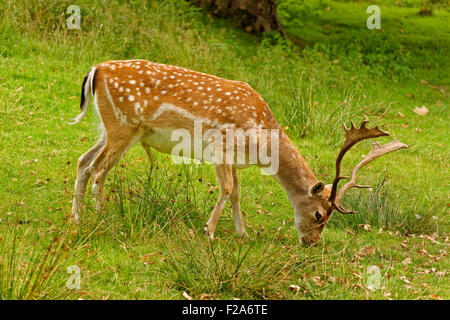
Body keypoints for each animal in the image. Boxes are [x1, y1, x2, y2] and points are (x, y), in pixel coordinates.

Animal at [70, 60, 408, 245]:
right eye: (319, 214)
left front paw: (242, 233)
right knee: (99, 169)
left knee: (84, 162)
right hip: (123, 125)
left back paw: (77, 218)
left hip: (112, 128)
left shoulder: (234, 158)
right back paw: (102, 218)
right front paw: (209, 231)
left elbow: (237, 193)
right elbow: (227, 188)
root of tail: (95, 69)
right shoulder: (219, 146)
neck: (261, 143)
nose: (312, 242)